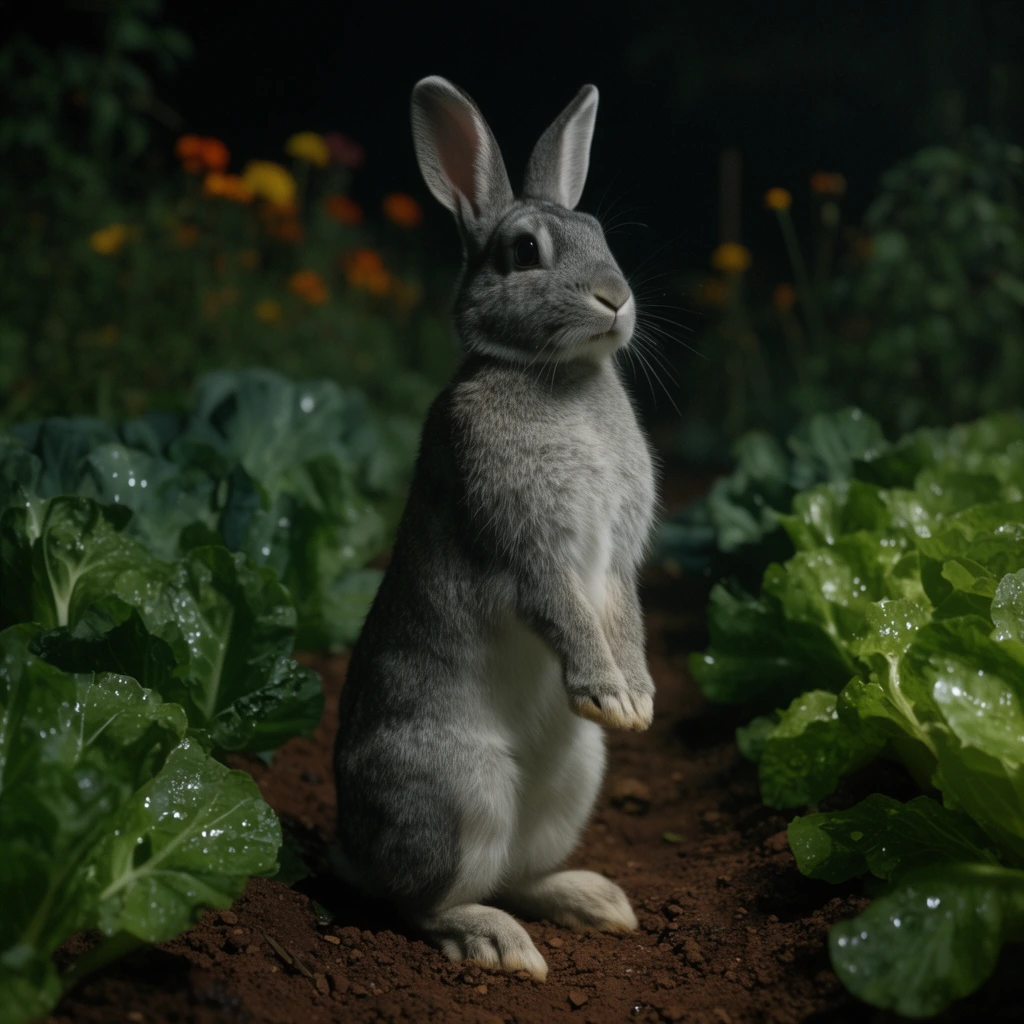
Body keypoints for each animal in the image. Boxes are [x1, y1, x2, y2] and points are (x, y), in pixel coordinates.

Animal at [333, 75, 657, 981]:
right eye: (523, 253)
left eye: (601, 237)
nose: (616, 297)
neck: (555, 376)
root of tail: (350, 850)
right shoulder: (526, 548)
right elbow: (563, 608)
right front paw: (610, 692)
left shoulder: (617, 559)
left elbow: (622, 614)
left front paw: (638, 702)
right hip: (460, 790)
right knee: (421, 902)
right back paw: (496, 942)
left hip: (573, 778)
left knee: (519, 873)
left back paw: (596, 901)